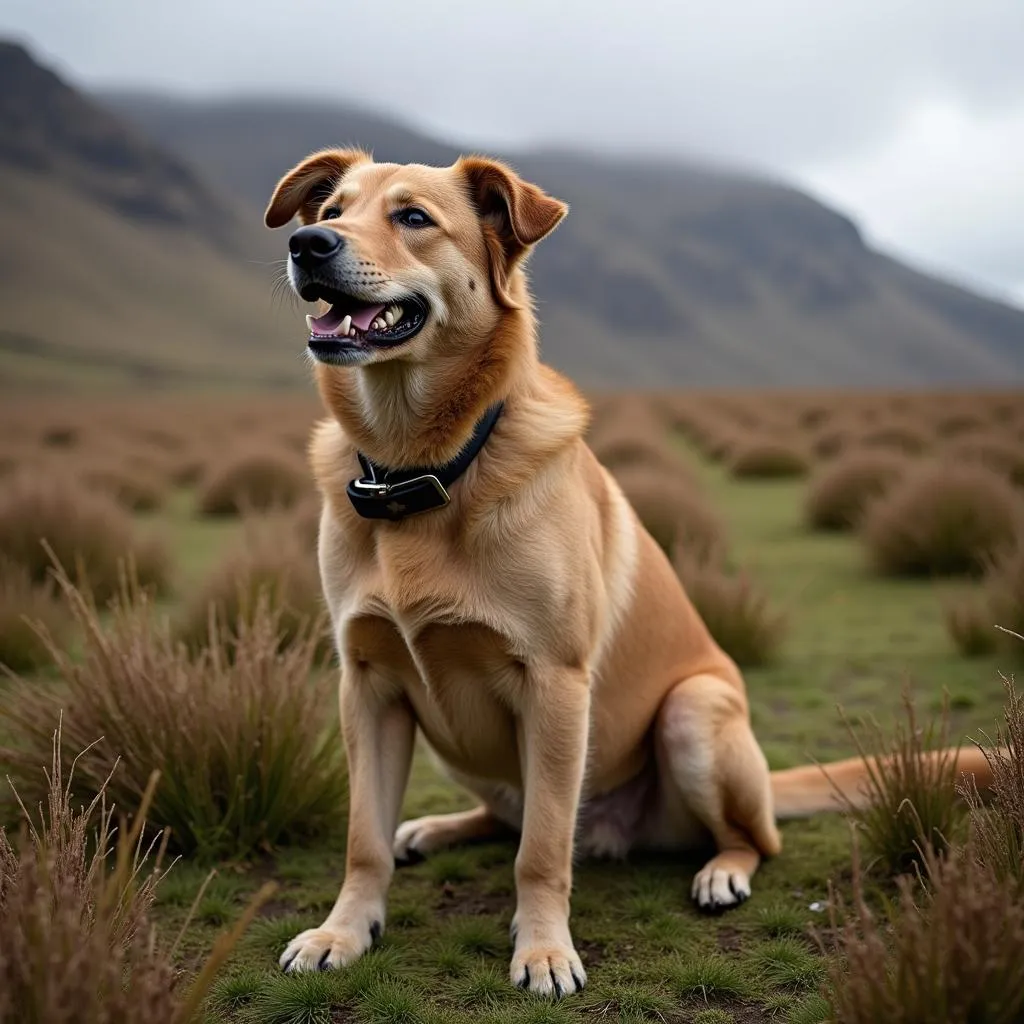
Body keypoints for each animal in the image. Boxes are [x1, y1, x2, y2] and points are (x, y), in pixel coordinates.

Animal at [264, 148, 991, 995]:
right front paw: (343, 933)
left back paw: (720, 871)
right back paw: (438, 826)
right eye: (334, 210)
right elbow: (364, 841)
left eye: (413, 217)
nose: (308, 244)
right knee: (501, 816)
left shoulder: (555, 684)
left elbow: (542, 852)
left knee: (744, 839)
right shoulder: (367, 686)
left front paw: (544, 950)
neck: (425, 469)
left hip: (693, 713)